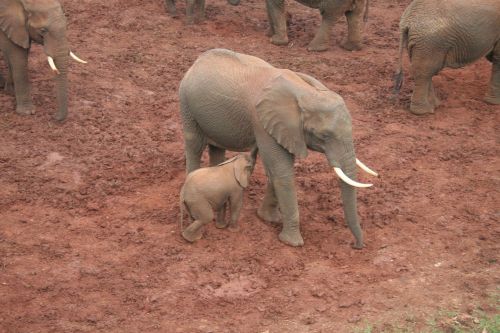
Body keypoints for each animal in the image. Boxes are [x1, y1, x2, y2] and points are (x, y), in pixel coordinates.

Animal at [180, 48, 378, 246]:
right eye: (324, 136)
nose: (357, 246)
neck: (306, 93)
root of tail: (197, 61)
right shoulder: (262, 122)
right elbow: (281, 170)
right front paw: (293, 243)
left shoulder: (287, 131)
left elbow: (275, 169)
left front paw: (268, 218)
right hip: (186, 103)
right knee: (194, 146)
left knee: (216, 149)